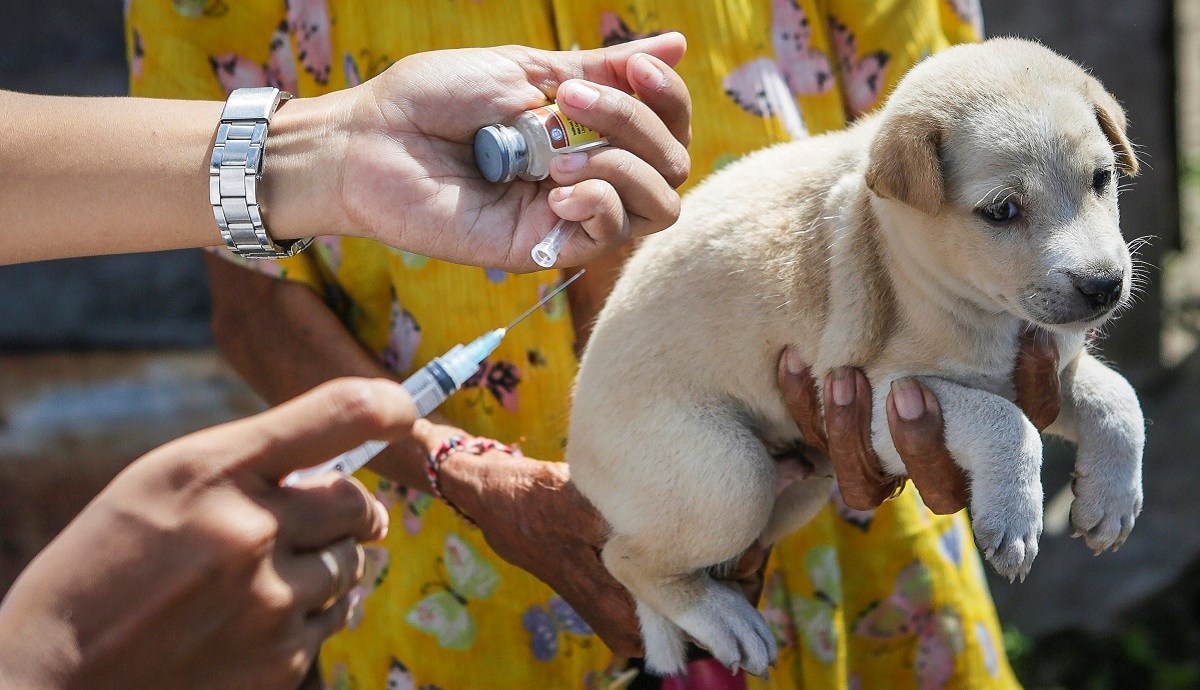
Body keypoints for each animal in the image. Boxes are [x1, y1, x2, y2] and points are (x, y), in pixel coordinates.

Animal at [566, 36, 1147, 676]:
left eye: (1102, 179)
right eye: (1001, 211)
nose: (1104, 286)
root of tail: (576, 445)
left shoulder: (1040, 371)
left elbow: (1119, 400)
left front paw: (1112, 501)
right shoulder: (878, 401)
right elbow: (1006, 423)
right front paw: (1016, 517)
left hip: (795, 490)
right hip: (726, 477)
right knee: (624, 559)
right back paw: (725, 620)